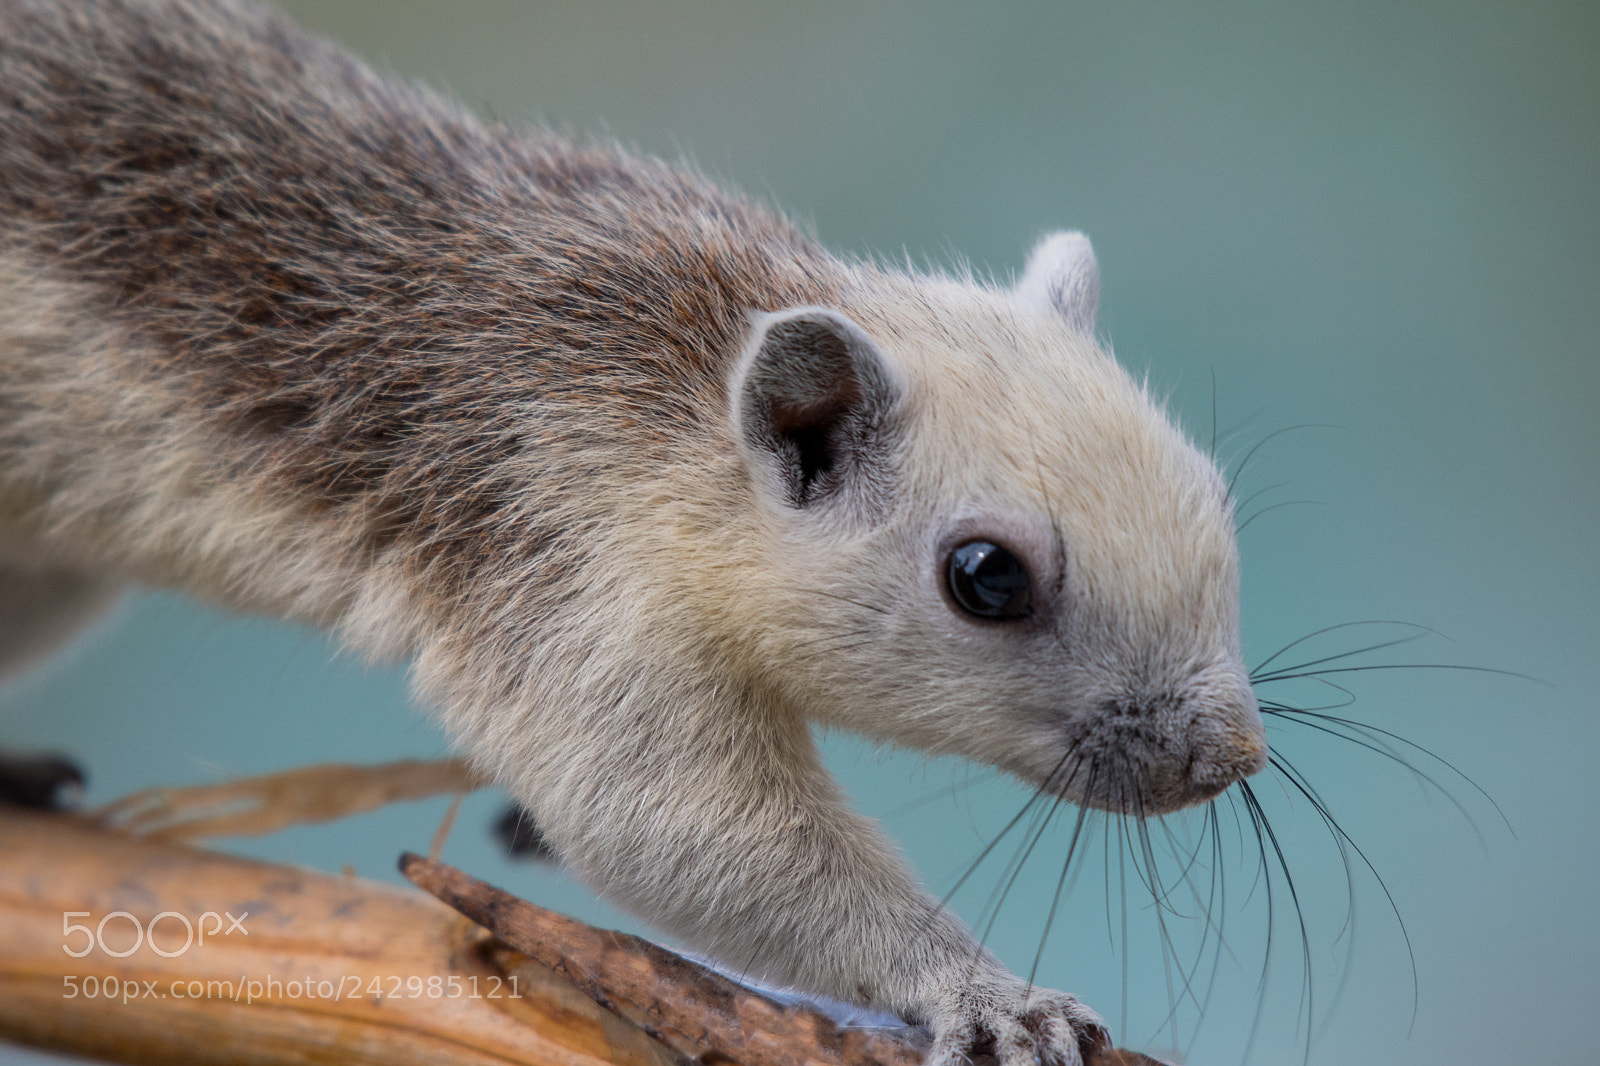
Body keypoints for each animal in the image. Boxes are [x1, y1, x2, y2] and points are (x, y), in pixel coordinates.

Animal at [0, 2, 1267, 1063]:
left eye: (1215, 495)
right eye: (986, 578)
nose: (1232, 757)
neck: (681, 407)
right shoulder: (565, 574)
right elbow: (678, 829)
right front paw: (986, 993)